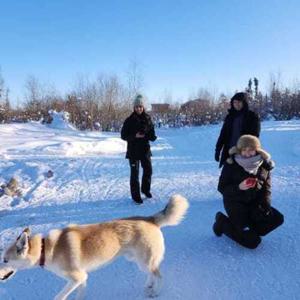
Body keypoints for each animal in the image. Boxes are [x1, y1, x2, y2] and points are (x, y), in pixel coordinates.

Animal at [0, 195, 189, 300]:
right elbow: (80, 294)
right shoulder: (82, 278)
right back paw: (149, 286)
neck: (44, 249)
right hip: (138, 260)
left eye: (5, 260)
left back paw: (155, 292)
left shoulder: (76, 278)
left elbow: (59, 296)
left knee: (159, 275)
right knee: (151, 273)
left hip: (145, 260)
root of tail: (150, 219)